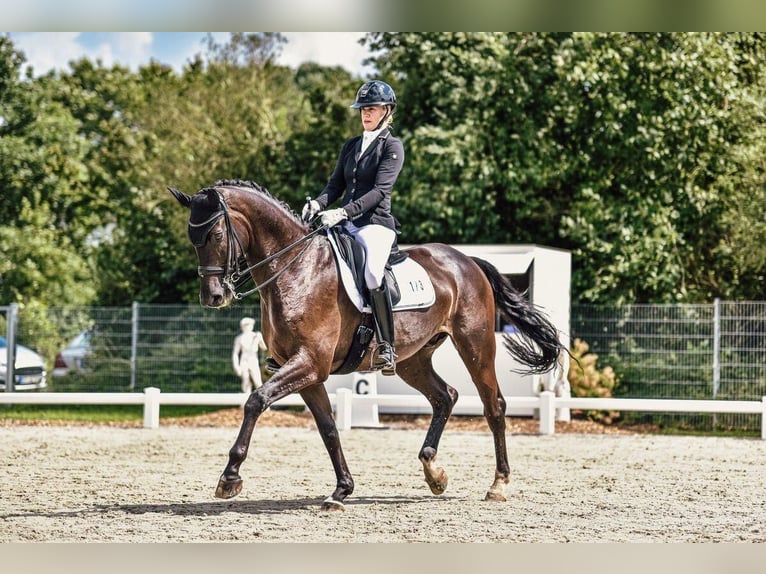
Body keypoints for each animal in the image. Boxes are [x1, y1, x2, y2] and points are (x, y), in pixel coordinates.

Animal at [171, 180, 568, 512]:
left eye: (216, 234)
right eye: (192, 238)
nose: (213, 297)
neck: (295, 269)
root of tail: (467, 261)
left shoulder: (309, 363)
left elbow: (256, 400)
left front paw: (230, 478)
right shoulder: (308, 371)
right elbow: (329, 428)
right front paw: (341, 491)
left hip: (476, 344)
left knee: (494, 405)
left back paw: (498, 484)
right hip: (412, 359)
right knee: (445, 396)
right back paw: (434, 473)